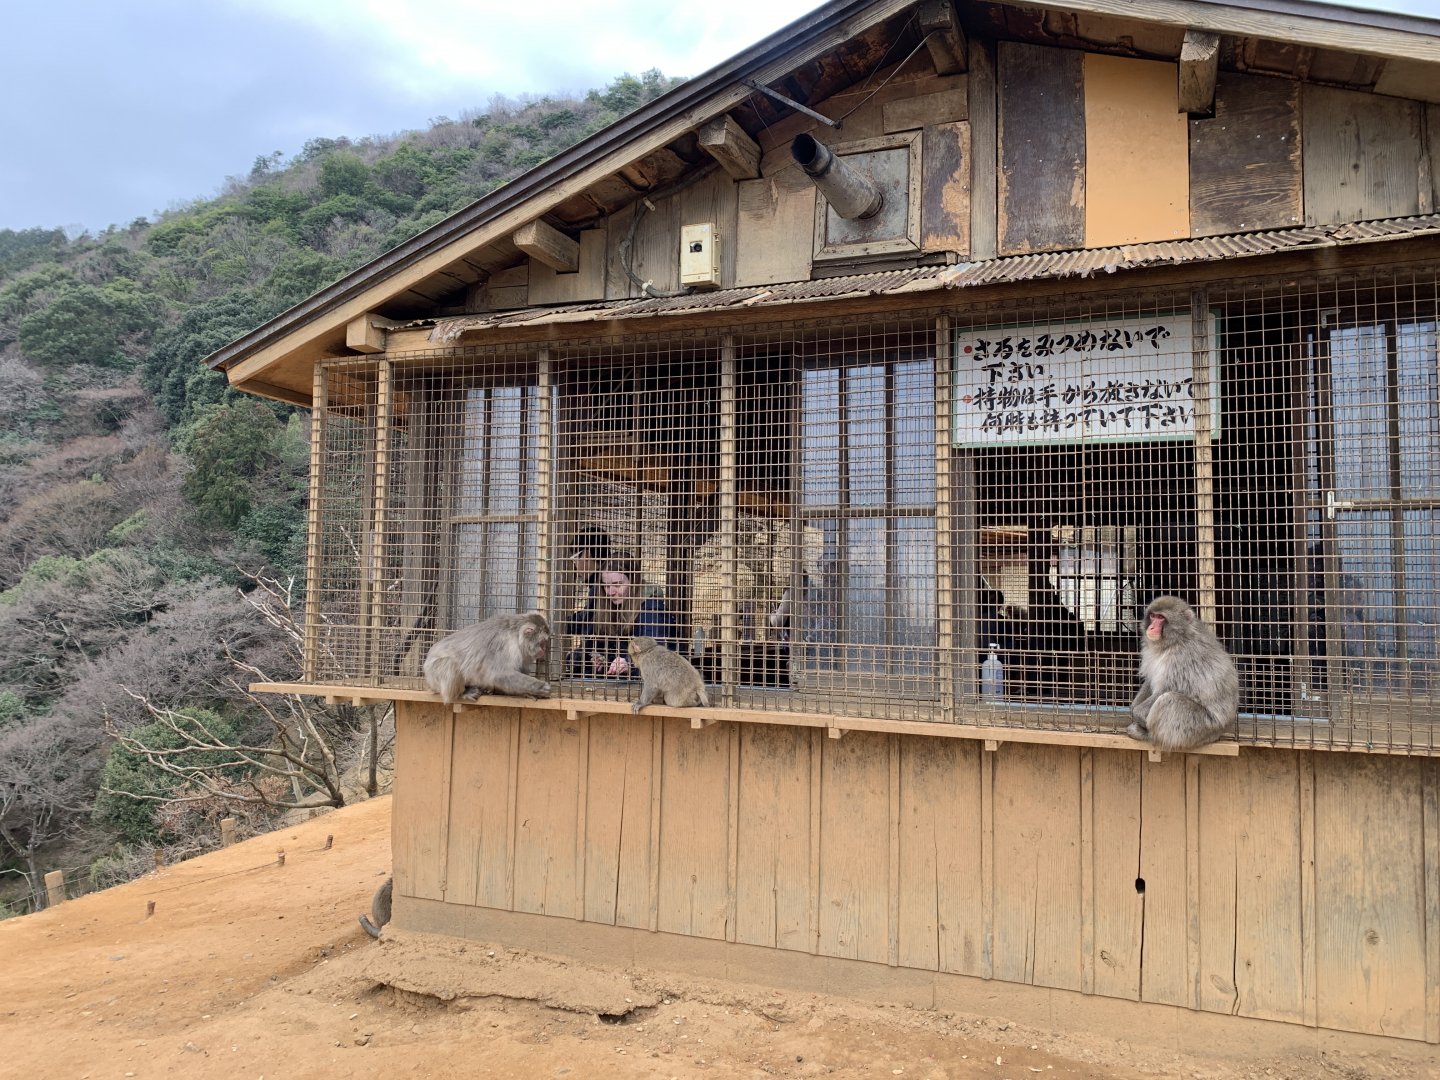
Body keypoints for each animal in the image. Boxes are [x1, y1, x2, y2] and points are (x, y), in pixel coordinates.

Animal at [422, 612, 551, 703]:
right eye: (542, 643)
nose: (544, 650)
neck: (515, 635)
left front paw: (527, 693)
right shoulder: (505, 645)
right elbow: (500, 674)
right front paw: (541, 687)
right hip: (434, 672)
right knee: (449, 664)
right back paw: (462, 693)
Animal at [1127, 595, 1238, 752]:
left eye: (1161, 618)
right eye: (1153, 616)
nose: (1151, 627)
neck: (1174, 641)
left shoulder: (1183, 656)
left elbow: (1168, 688)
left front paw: (1138, 714)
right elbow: (1150, 681)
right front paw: (1134, 707)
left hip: (1199, 727)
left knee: (1169, 700)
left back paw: (1149, 736)